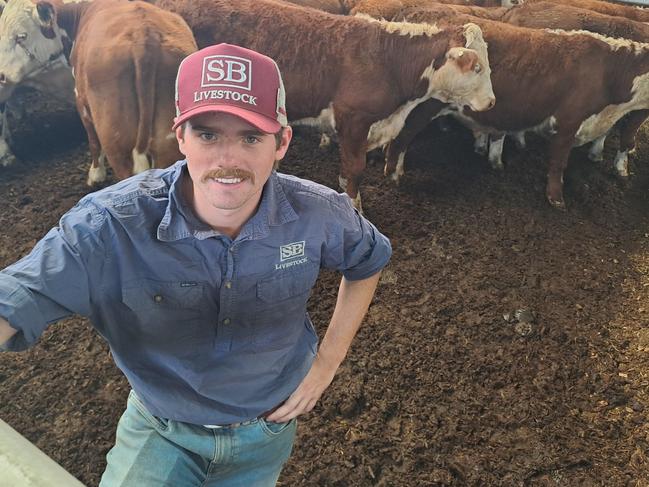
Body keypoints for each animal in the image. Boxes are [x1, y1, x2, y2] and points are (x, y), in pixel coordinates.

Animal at [0, 0, 197, 186]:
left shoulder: (80, 98)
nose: (1, 75)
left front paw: (95, 174)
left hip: (117, 143)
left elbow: (93, 140)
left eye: (21, 36)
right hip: (168, 141)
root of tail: (144, 37)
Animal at [144, 0, 494, 208]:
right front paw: (354, 207)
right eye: (476, 67)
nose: (491, 101)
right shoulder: (354, 119)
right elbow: (353, 170)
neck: (390, 61)